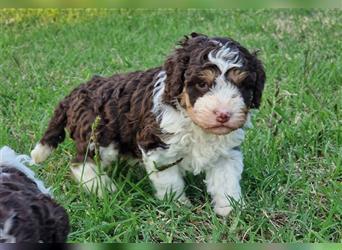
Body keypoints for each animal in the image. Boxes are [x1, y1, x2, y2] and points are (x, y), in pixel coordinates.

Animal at [30, 32, 266, 217]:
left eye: (242, 85)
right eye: (201, 84)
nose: (223, 114)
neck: (194, 123)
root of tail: (75, 94)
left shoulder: (226, 152)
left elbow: (226, 179)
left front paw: (231, 209)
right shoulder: (158, 148)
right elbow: (170, 181)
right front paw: (178, 206)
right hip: (100, 137)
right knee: (81, 163)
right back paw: (103, 188)